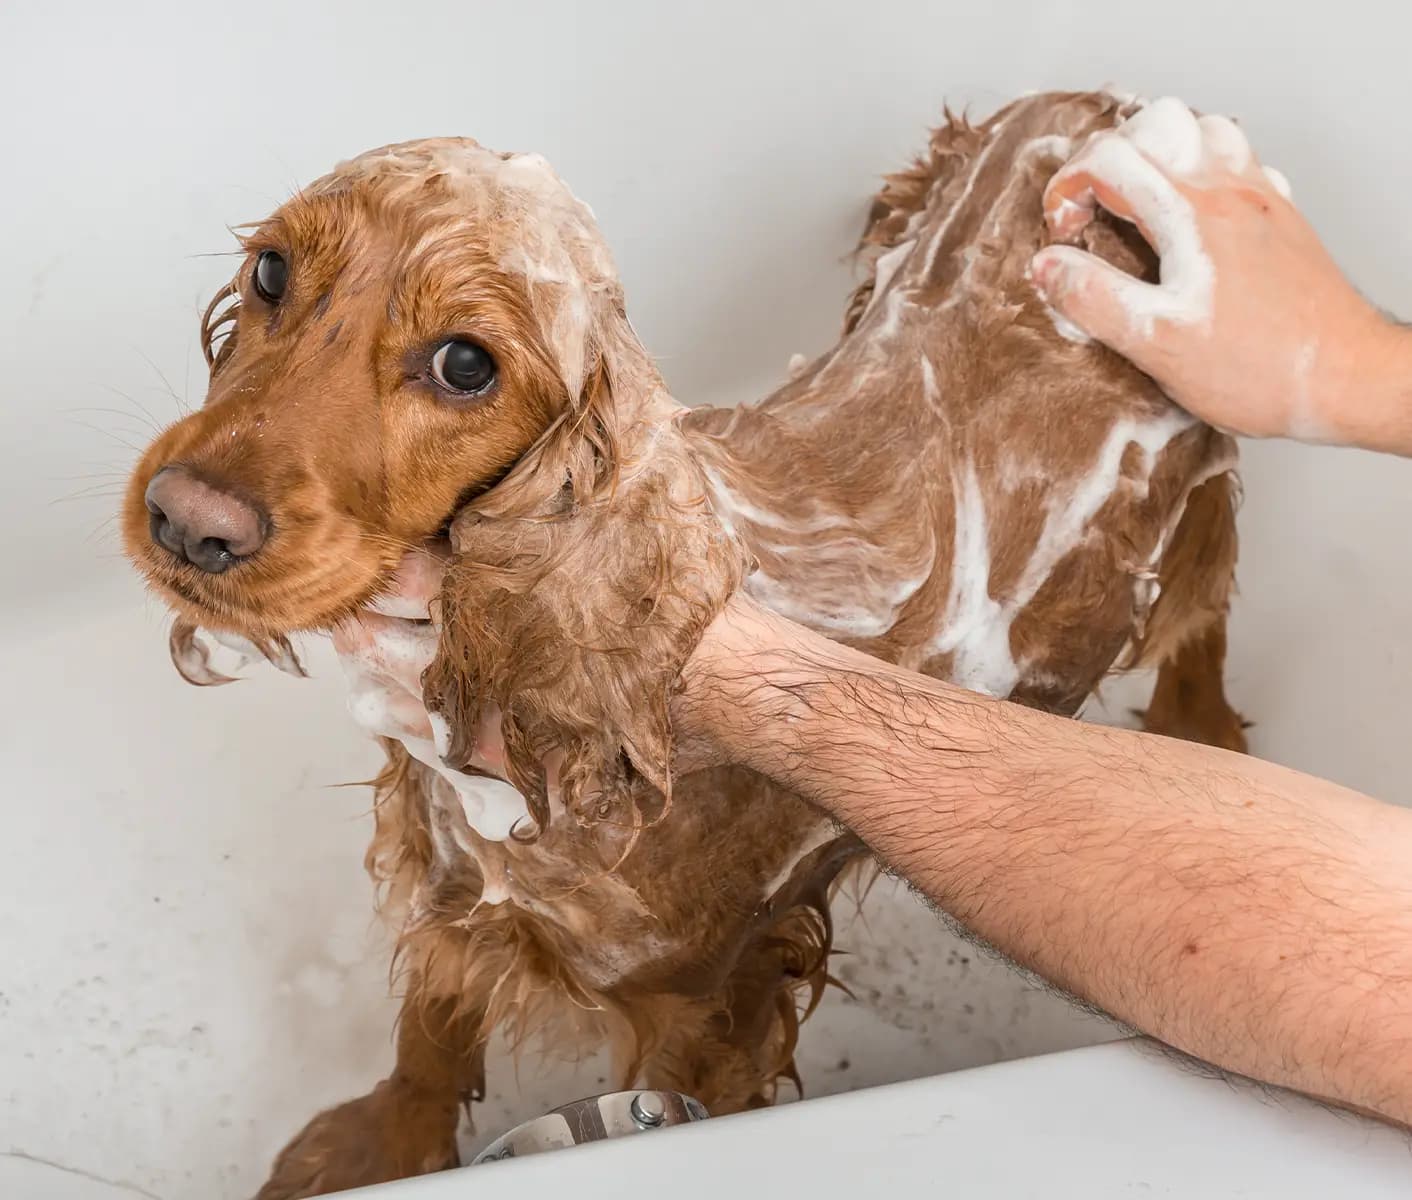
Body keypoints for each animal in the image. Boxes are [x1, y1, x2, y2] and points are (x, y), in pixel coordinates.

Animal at [124, 88, 1248, 1191]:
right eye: (272, 270)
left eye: (464, 365)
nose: (187, 520)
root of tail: (1114, 105)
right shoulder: (456, 895)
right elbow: (430, 1036)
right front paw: (383, 1150)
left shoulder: (717, 1004)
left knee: (1203, 614)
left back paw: (1204, 738)